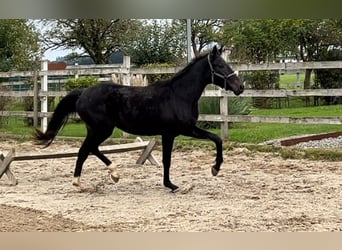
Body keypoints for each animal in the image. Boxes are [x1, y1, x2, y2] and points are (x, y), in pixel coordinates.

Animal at [34, 46, 243, 191]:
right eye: (220, 66)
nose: (240, 87)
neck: (179, 95)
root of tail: (82, 93)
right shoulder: (172, 133)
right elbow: (168, 160)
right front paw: (172, 185)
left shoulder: (186, 130)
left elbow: (216, 139)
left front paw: (214, 169)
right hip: (102, 129)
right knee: (85, 150)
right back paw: (82, 182)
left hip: (96, 130)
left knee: (90, 149)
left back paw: (112, 175)